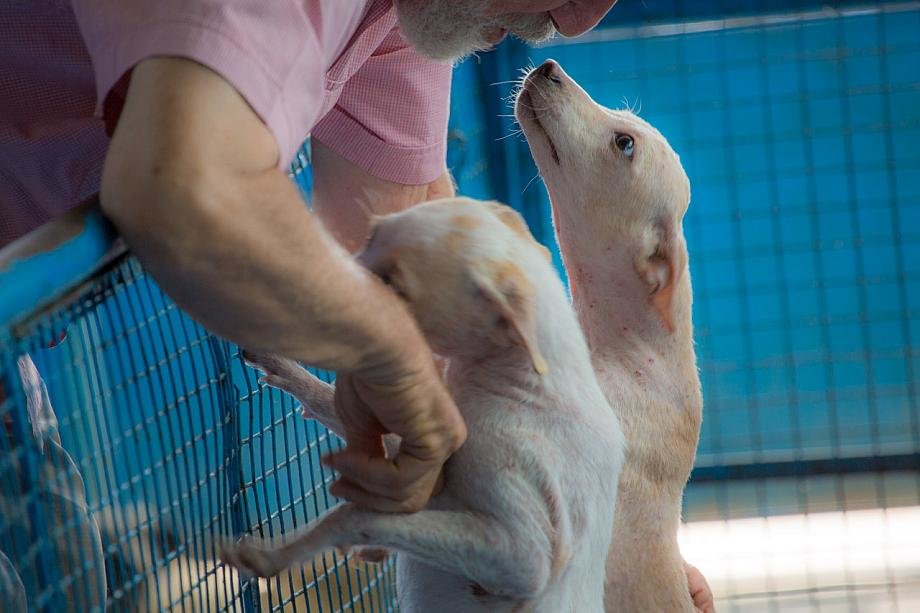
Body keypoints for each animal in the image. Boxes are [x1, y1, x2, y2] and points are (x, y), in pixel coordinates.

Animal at [221, 198, 625, 612]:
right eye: (370, 234)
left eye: (393, 286)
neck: (522, 379)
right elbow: (329, 404)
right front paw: (282, 365)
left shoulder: (523, 557)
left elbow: (356, 515)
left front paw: (273, 554)